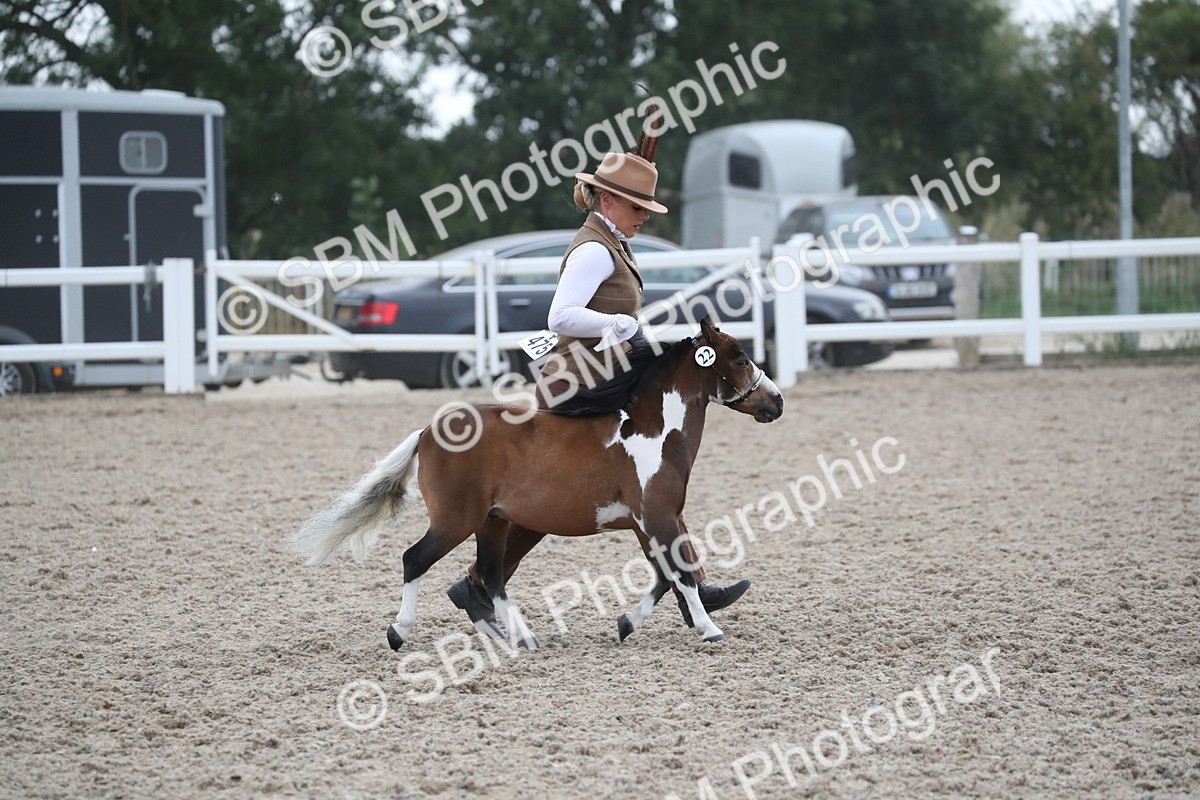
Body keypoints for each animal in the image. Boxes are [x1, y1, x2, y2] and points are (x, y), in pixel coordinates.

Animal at [291, 317, 784, 648]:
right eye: (741, 359)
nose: (777, 402)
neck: (652, 433)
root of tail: (429, 431)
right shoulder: (659, 518)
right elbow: (680, 574)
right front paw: (710, 629)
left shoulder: (649, 523)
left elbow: (666, 576)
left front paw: (626, 623)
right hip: (456, 520)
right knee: (415, 560)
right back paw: (400, 632)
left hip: (491, 523)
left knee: (490, 576)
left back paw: (514, 635)